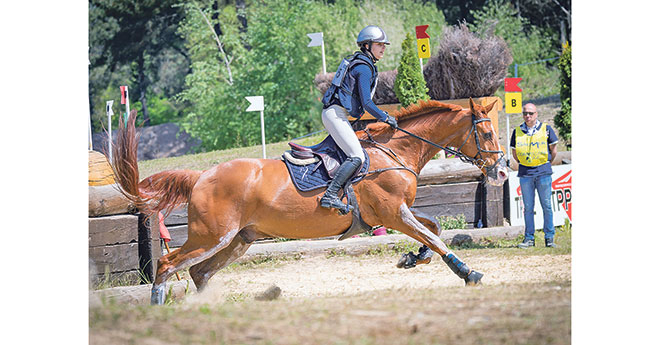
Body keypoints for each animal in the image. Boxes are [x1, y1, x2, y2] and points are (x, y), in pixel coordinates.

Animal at [113, 97, 508, 304]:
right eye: (488, 133)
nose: (502, 172)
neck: (394, 151)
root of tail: (200, 177)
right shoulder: (393, 214)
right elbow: (435, 237)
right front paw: (468, 272)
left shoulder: (397, 213)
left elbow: (433, 229)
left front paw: (412, 258)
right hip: (211, 235)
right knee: (168, 264)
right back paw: (160, 308)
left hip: (239, 239)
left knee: (199, 271)